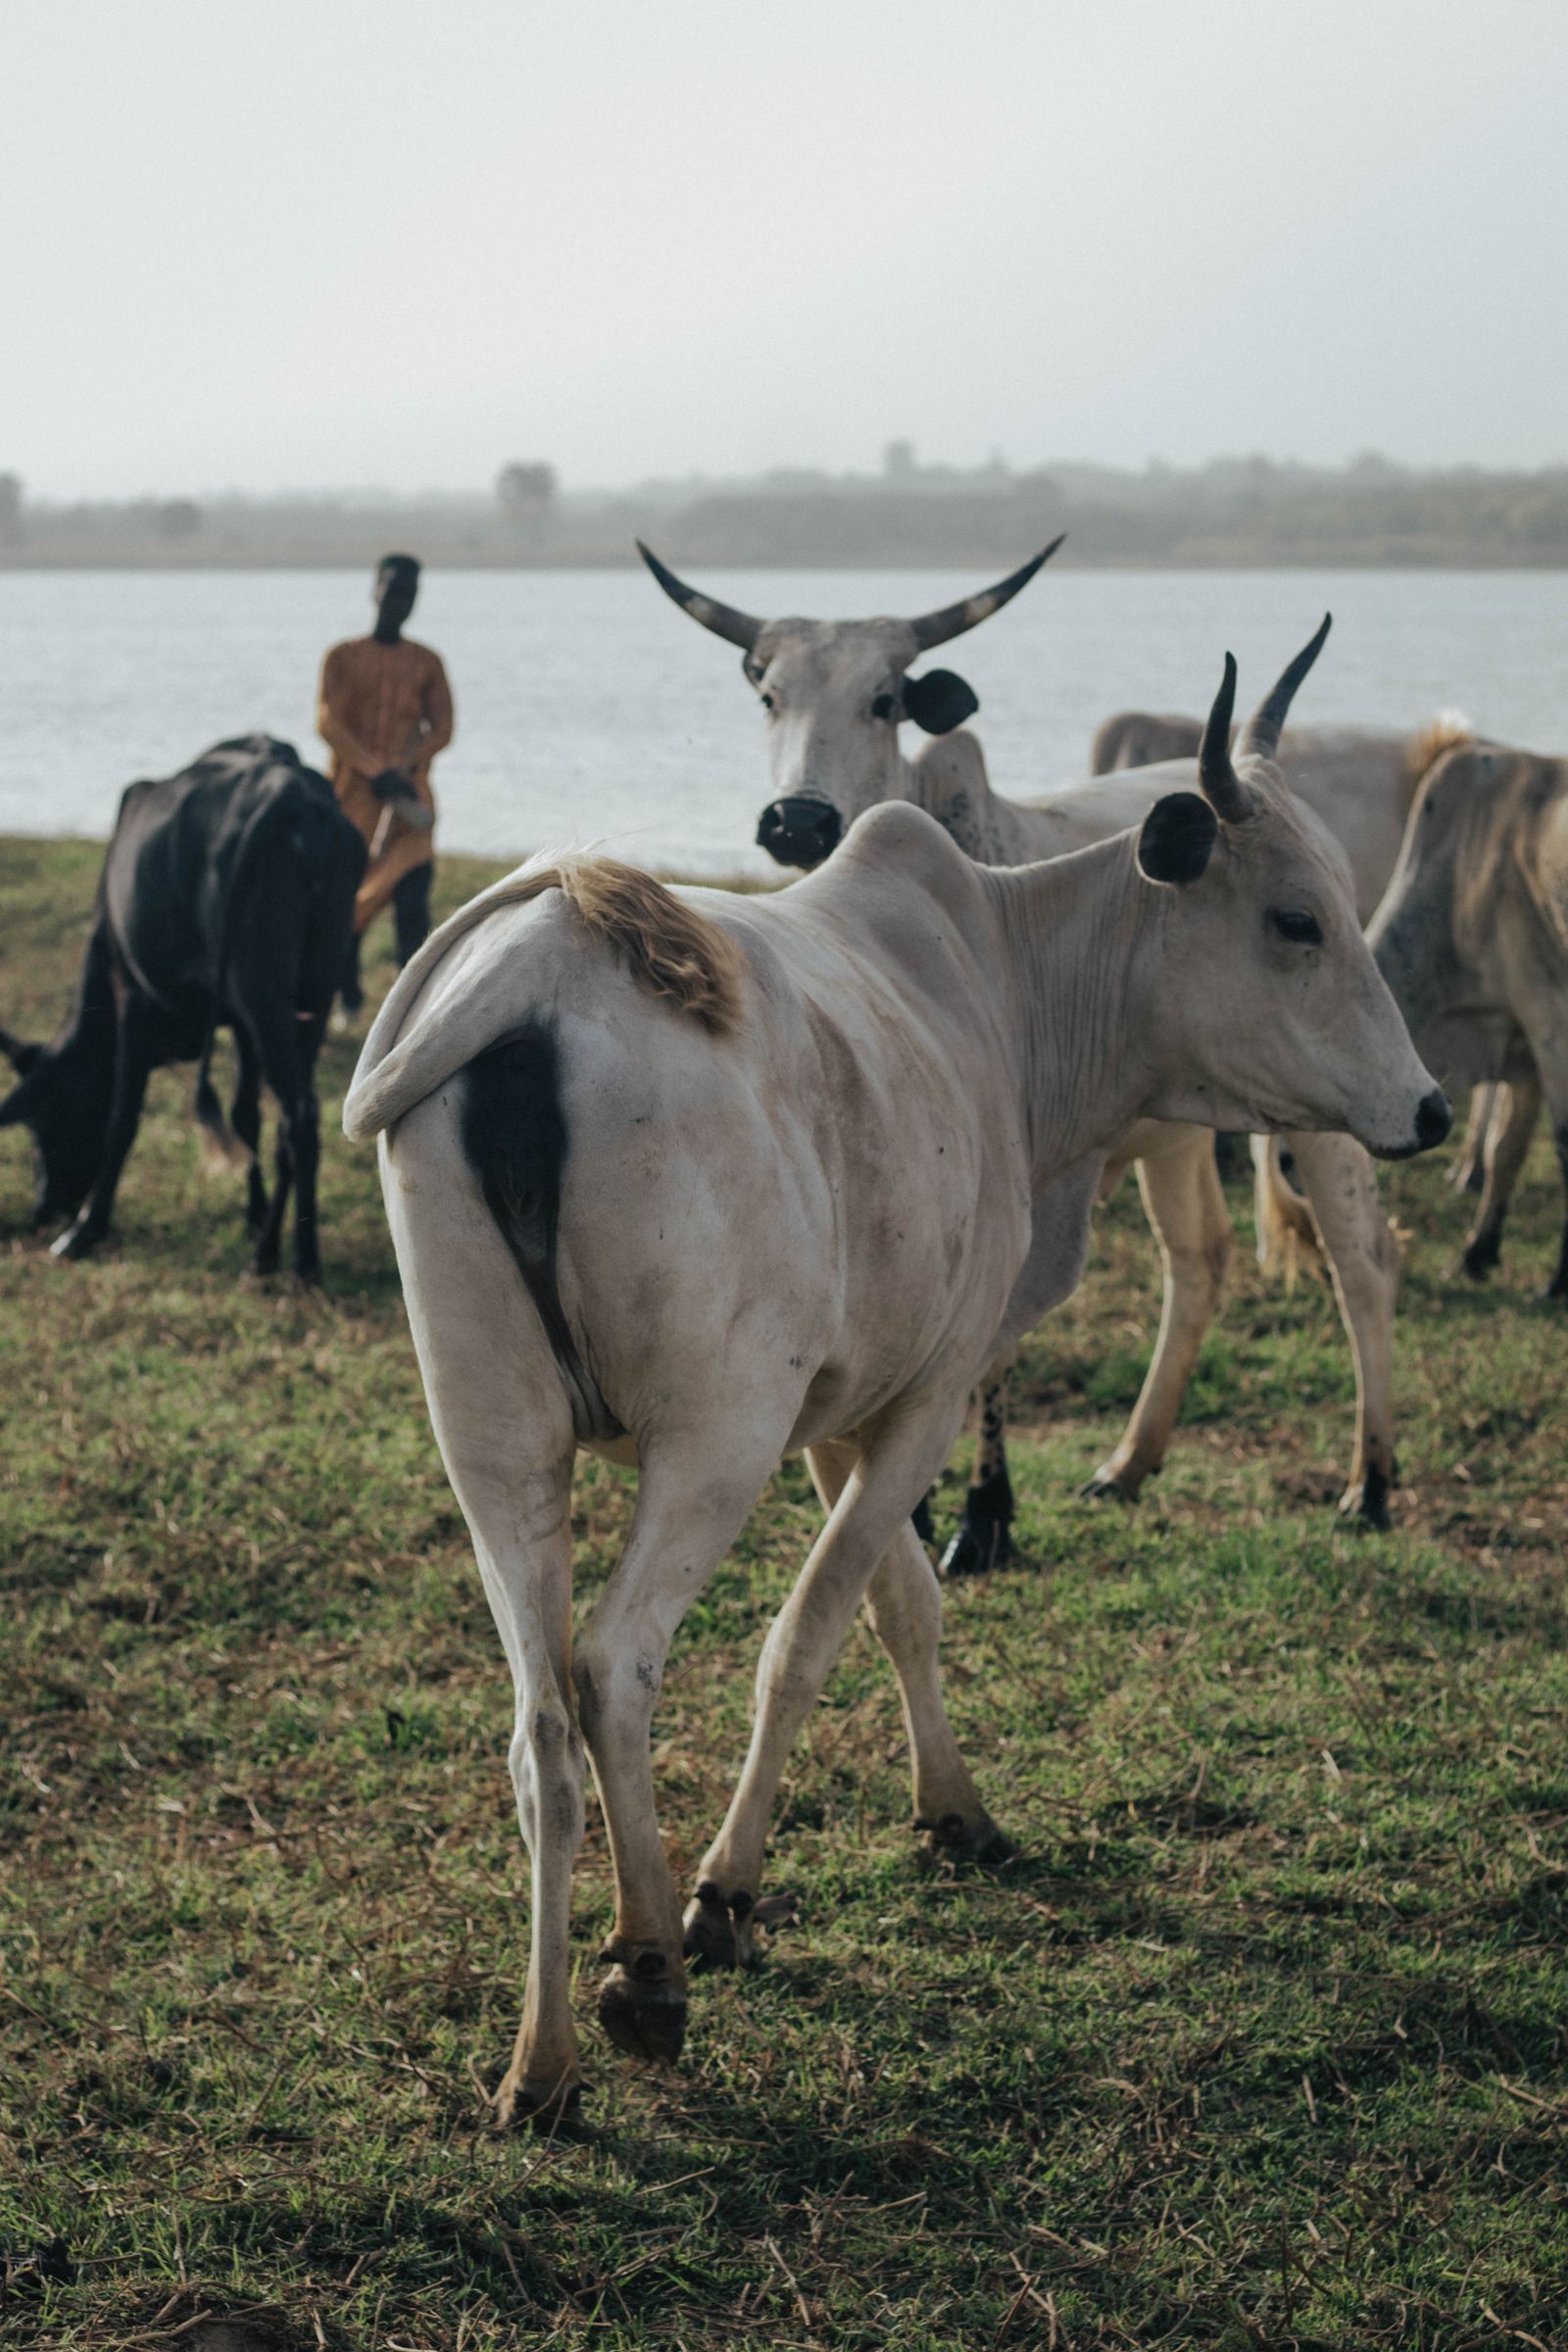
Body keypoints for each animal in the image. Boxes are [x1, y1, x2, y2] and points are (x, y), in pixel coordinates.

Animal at [0, 735, 365, 1282]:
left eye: (45, 1120)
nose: (44, 1209)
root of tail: (288, 794)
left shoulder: (132, 996)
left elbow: (122, 1117)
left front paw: (86, 1229)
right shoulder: (238, 1026)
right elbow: (245, 1117)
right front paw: (255, 1217)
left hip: (262, 994)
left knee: (298, 1115)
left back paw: (299, 1262)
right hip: (310, 993)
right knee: (292, 1117)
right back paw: (270, 1254)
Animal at [639, 548, 1413, 1563]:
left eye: (884, 699)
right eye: (769, 694)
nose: (797, 820)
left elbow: (994, 1354)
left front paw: (983, 1513)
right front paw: (925, 1513)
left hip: (1335, 1113)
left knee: (1363, 1262)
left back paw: (1372, 1481)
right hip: (1176, 1139)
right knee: (1197, 1259)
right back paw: (1130, 1461)